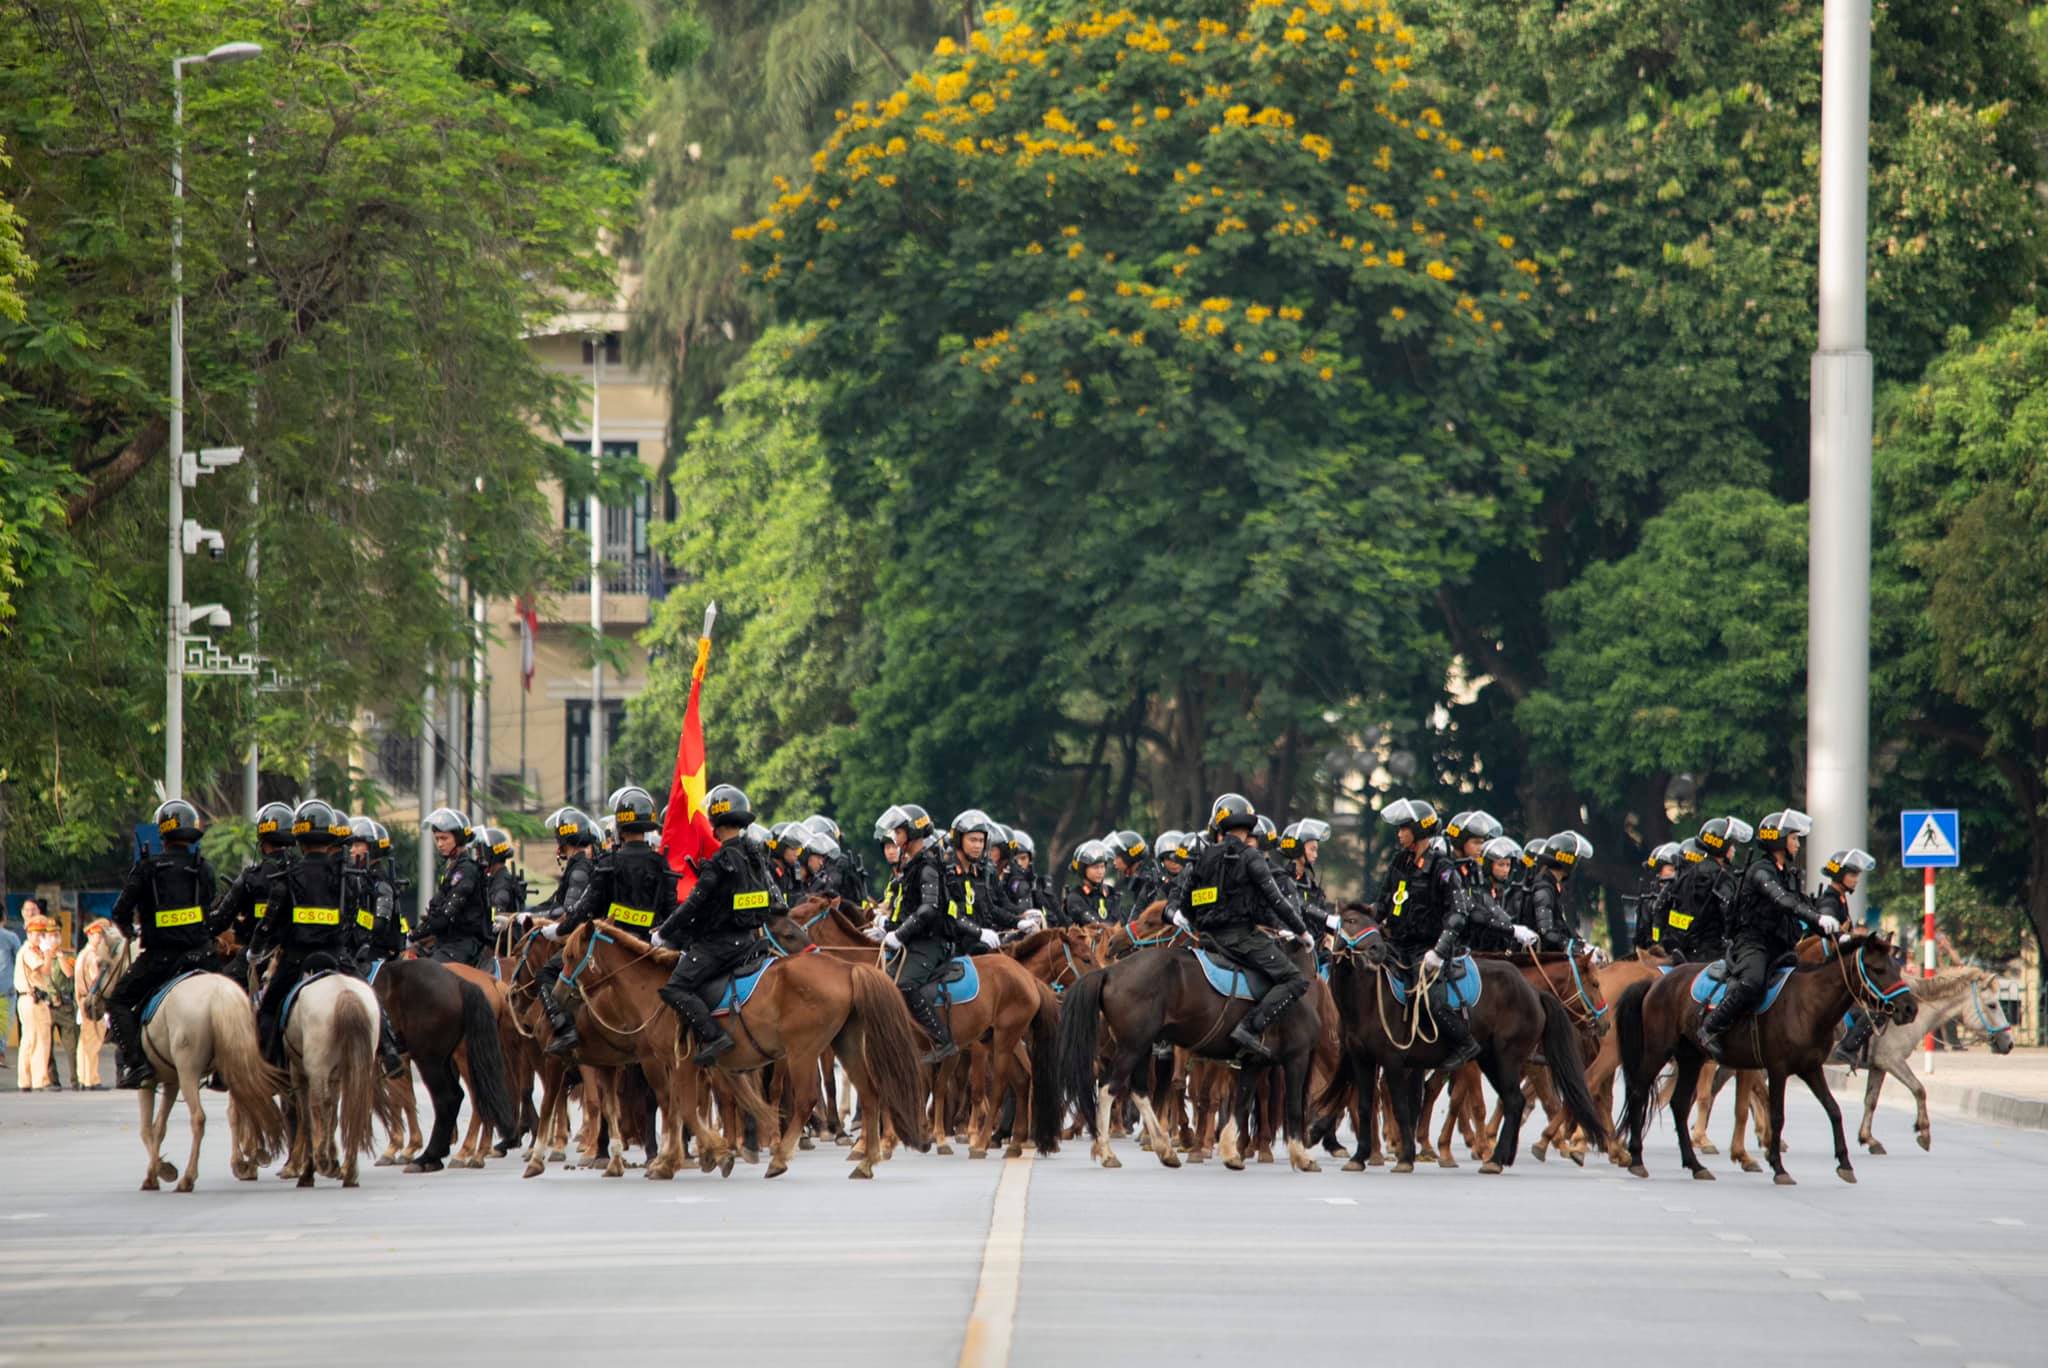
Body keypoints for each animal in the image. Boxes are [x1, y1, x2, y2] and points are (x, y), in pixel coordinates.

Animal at [136, 970, 288, 1187]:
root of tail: (220, 995)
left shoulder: (147, 1081)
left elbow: (146, 1129)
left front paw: (155, 1174)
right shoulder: (171, 1081)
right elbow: (159, 1128)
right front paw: (161, 1169)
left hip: (189, 1071)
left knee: (199, 1117)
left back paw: (189, 1178)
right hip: (233, 1061)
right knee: (244, 1107)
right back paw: (249, 1161)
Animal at [278, 970, 393, 1187]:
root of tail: (345, 992)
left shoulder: (300, 1076)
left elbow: (310, 1119)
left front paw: (311, 1170)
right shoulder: (336, 1078)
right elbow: (333, 1116)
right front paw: (334, 1161)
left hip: (317, 1069)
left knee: (318, 1107)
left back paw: (322, 1162)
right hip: (357, 1069)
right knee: (353, 1105)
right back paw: (350, 1172)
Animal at [1613, 933, 1916, 1179]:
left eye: (1895, 967)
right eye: (1878, 969)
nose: (1910, 1008)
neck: (1808, 1003)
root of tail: (1657, 982)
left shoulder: (1810, 1068)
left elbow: (1833, 1110)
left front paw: (1844, 1163)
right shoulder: (1777, 1068)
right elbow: (1776, 1114)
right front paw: (1778, 1166)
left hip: (1691, 1057)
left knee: (1678, 1103)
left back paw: (1694, 1164)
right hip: (1658, 1049)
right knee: (1639, 1092)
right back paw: (1636, 1158)